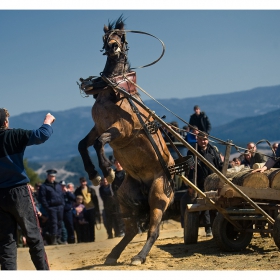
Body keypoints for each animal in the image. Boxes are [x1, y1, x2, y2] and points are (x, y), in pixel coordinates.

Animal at [77, 16, 176, 266]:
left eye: (121, 36)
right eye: (106, 36)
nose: (113, 46)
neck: (115, 90)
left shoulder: (121, 129)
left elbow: (99, 143)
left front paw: (107, 170)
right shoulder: (98, 126)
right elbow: (83, 144)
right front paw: (94, 174)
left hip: (158, 196)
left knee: (153, 230)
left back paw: (139, 257)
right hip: (125, 196)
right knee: (131, 230)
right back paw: (113, 255)